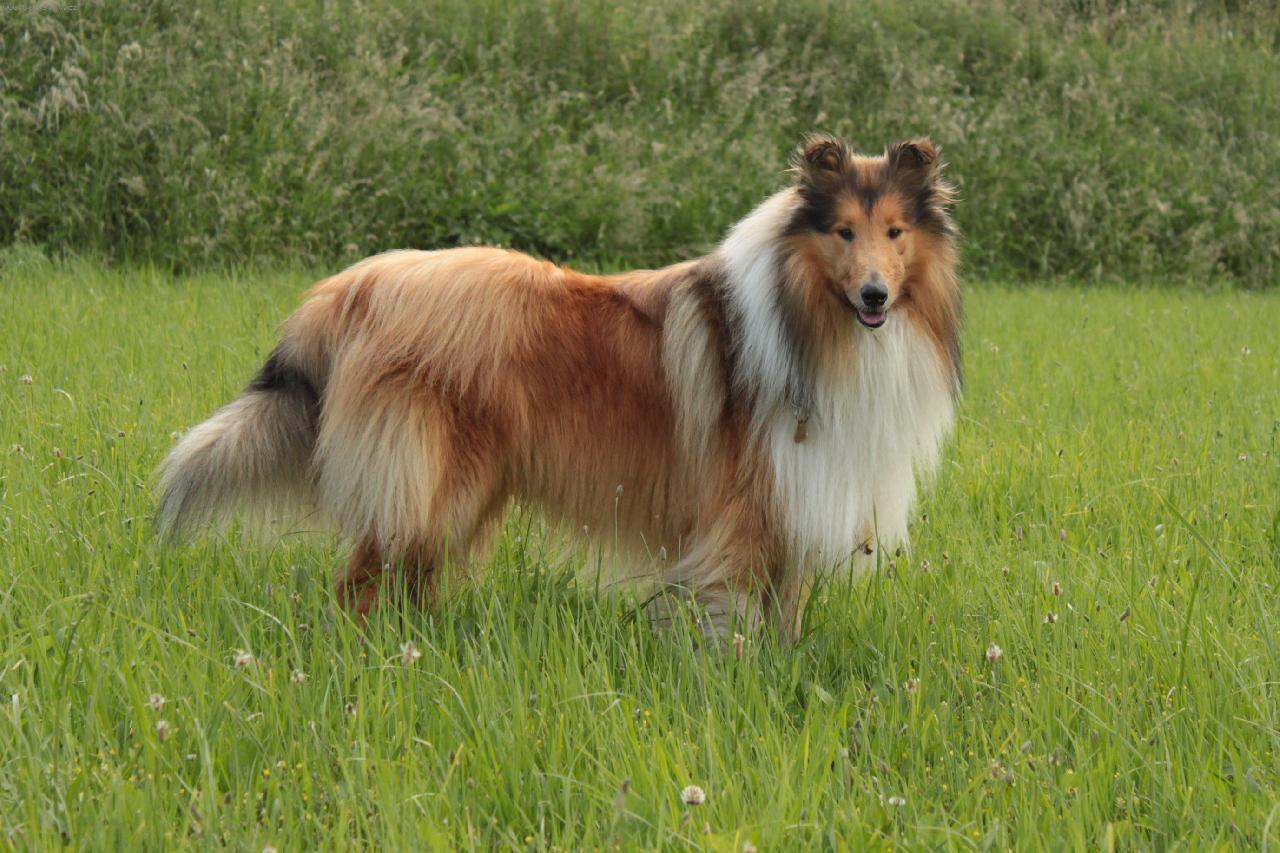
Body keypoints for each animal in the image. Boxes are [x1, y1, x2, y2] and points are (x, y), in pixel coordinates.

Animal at [157, 134, 960, 638]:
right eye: (843, 232)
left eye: (894, 232)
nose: (875, 296)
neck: (812, 327)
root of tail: (353, 286)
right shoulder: (743, 519)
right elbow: (732, 625)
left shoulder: (795, 507)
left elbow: (783, 625)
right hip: (429, 488)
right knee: (358, 585)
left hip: (454, 497)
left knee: (405, 587)